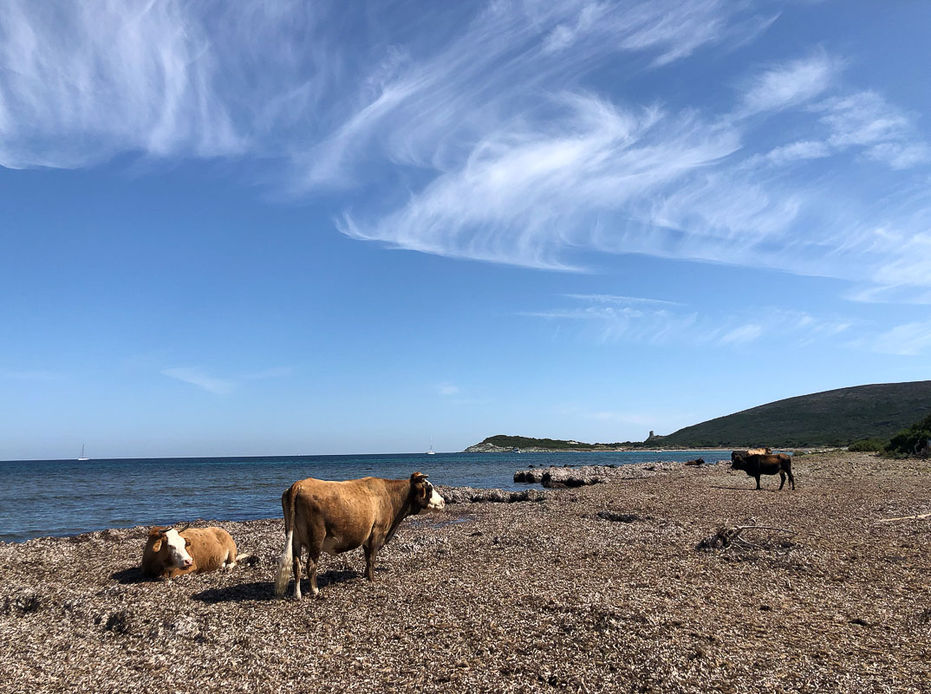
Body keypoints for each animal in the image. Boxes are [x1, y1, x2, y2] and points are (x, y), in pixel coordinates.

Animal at [274, 472, 445, 599]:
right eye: (429, 487)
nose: (444, 501)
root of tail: (299, 484)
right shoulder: (377, 532)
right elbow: (372, 558)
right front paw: (372, 579)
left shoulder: (367, 535)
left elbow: (367, 556)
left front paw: (365, 575)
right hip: (316, 537)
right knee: (311, 564)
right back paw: (315, 590)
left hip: (294, 539)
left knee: (296, 565)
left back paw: (297, 594)